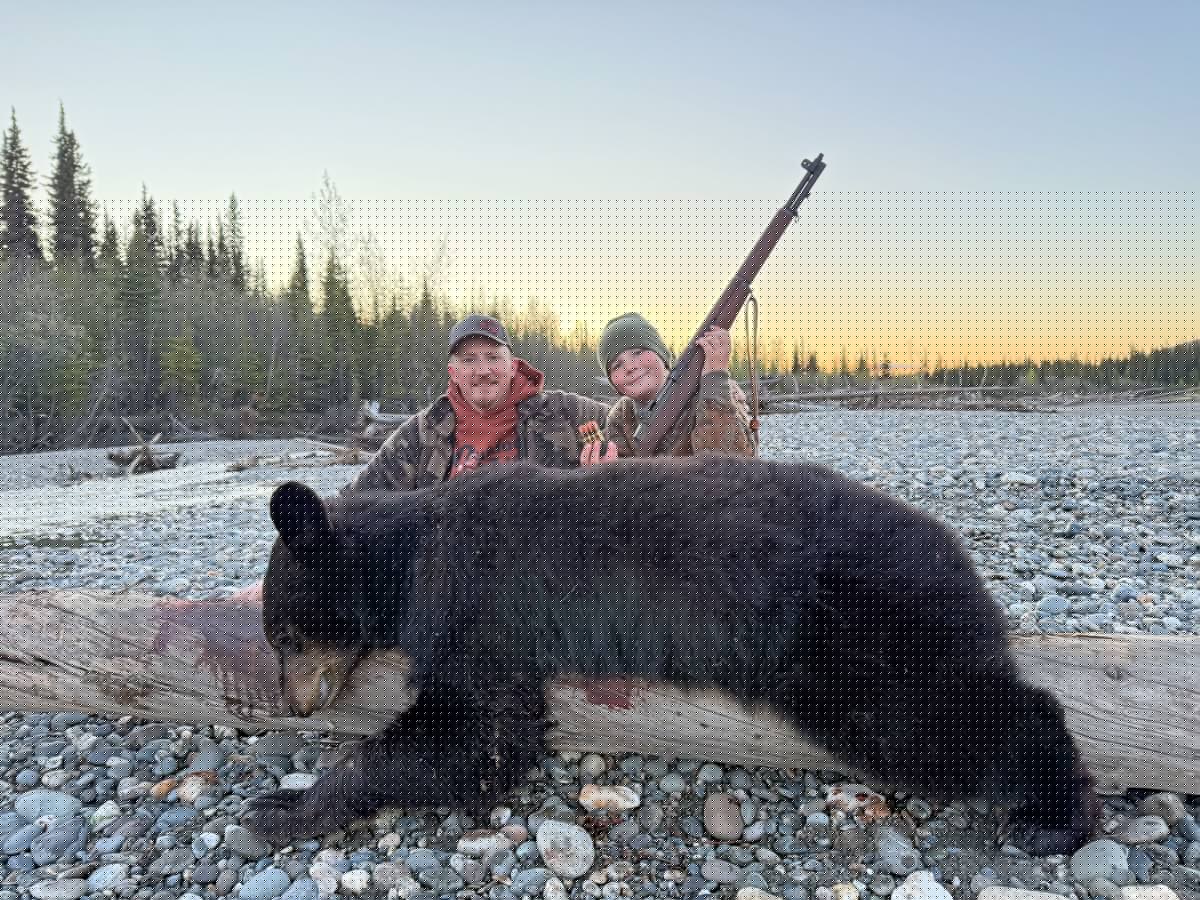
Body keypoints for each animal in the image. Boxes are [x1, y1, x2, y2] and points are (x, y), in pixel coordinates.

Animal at [242, 453, 1099, 855]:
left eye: (286, 636)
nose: (293, 702)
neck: (408, 552)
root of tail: (955, 548)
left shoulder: (471, 601)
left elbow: (475, 734)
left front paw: (285, 806)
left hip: (851, 629)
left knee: (939, 718)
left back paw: (1054, 816)